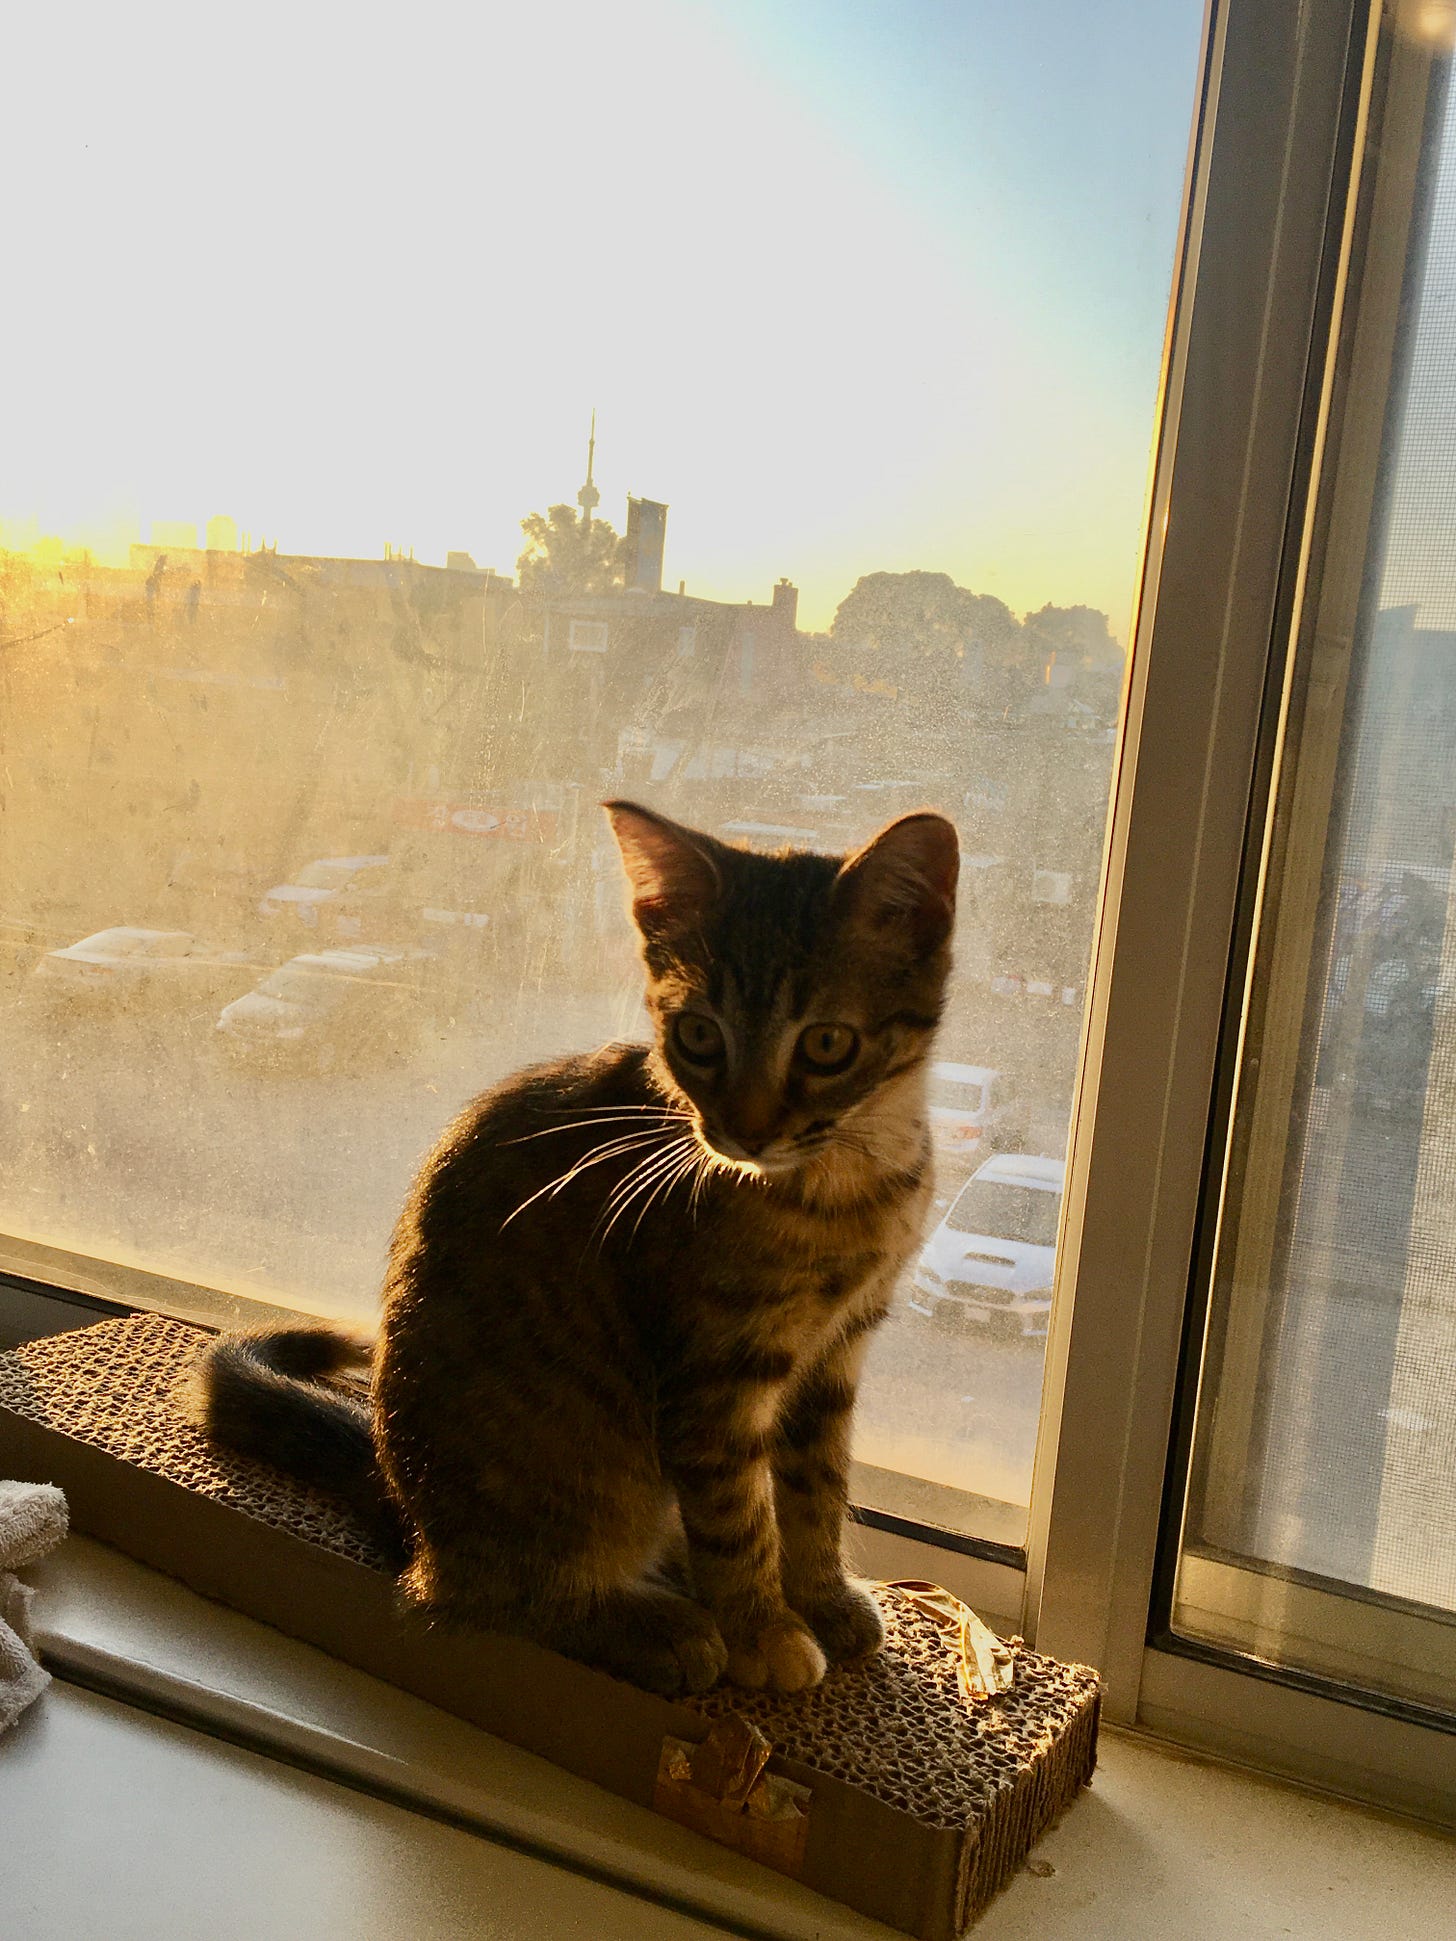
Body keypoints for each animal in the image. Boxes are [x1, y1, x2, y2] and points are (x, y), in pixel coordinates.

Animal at [199, 795, 962, 1692]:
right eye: (699, 1035)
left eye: (827, 1043)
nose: (742, 1130)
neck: (847, 1183)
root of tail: (407, 1508)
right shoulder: (713, 1377)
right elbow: (737, 1517)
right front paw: (763, 1630)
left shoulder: (837, 1352)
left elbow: (817, 1487)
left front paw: (822, 1594)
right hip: (576, 1475)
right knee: (486, 1593)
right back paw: (661, 1626)